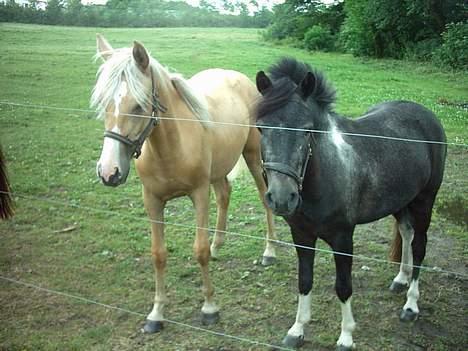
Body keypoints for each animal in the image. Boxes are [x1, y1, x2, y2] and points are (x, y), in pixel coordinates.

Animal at [90, 35, 278, 332]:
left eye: (138, 106)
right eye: (104, 103)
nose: (109, 172)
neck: (169, 148)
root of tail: (237, 76)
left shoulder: (199, 194)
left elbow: (198, 251)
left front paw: (210, 308)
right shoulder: (152, 200)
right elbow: (158, 254)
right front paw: (156, 314)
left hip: (253, 155)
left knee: (263, 197)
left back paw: (269, 251)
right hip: (219, 170)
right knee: (224, 195)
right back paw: (217, 246)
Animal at [254, 57, 448, 350]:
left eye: (307, 129)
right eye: (260, 128)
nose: (281, 198)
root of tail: (427, 115)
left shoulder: (343, 238)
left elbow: (343, 286)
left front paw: (346, 336)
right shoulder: (301, 235)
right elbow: (304, 281)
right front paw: (297, 330)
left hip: (425, 200)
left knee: (420, 246)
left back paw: (411, 305)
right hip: (402, 201)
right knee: (406, 233)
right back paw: (400, 279)